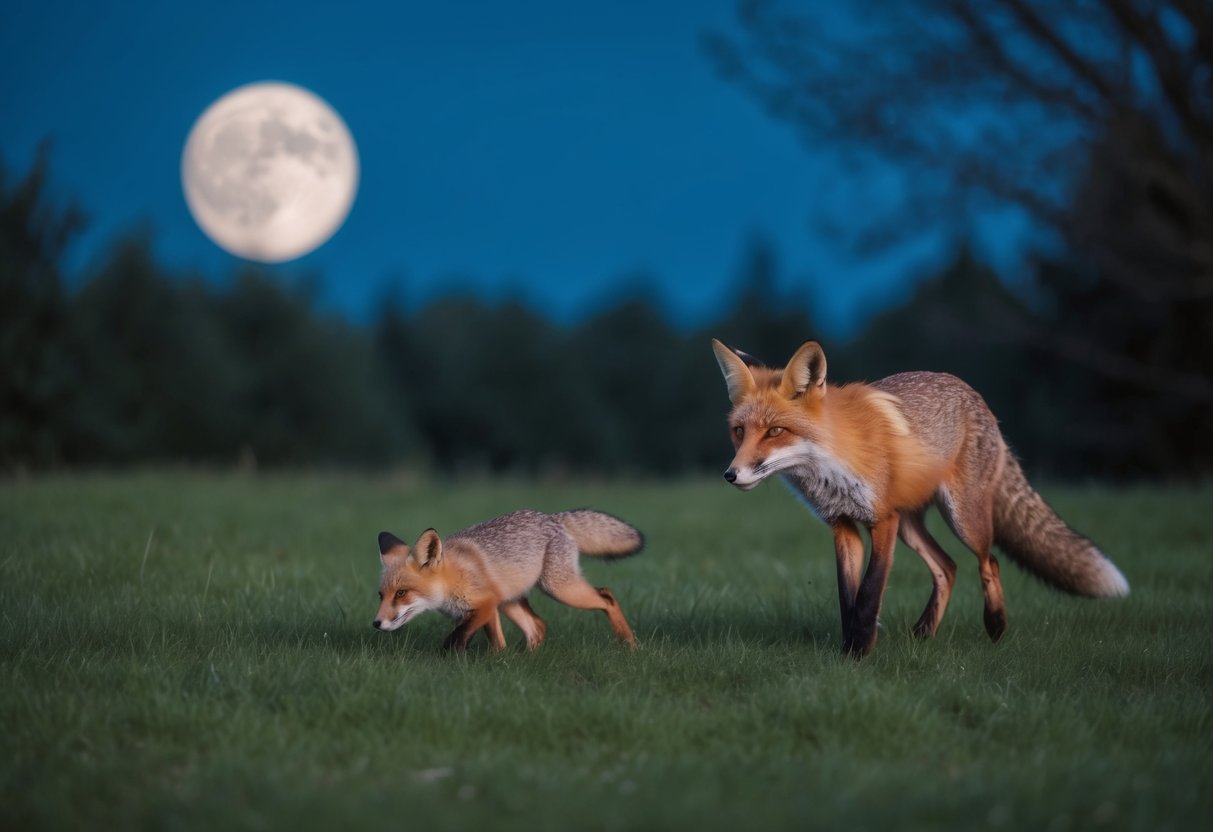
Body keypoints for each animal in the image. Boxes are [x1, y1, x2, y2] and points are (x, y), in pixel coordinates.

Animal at [373, 509, 644, 651]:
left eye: (401, 593)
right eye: (381, 595)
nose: (376, 623)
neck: (450, 580)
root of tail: (553, 517)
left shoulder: (485, 604)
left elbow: (458, 638)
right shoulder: (488, 607)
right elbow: (497, 643)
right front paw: (499, 662)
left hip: (560, 589)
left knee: (607, 596)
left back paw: (629, 643)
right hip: (510, 601)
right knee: (537, 627)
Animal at [712, 338, 1129, 657]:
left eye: (775, 431)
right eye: (739, 431)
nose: (731, 475)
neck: (831, 463)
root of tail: (974, 394)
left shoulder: (882, 519)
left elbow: (869, 593)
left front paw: (860, 651)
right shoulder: (843, 525)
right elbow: (848, 597)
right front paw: (849, 648)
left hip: (961, 518)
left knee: (989, 561)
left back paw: (996, 625)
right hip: (910, 526)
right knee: (948, 567)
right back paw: (925, 631)